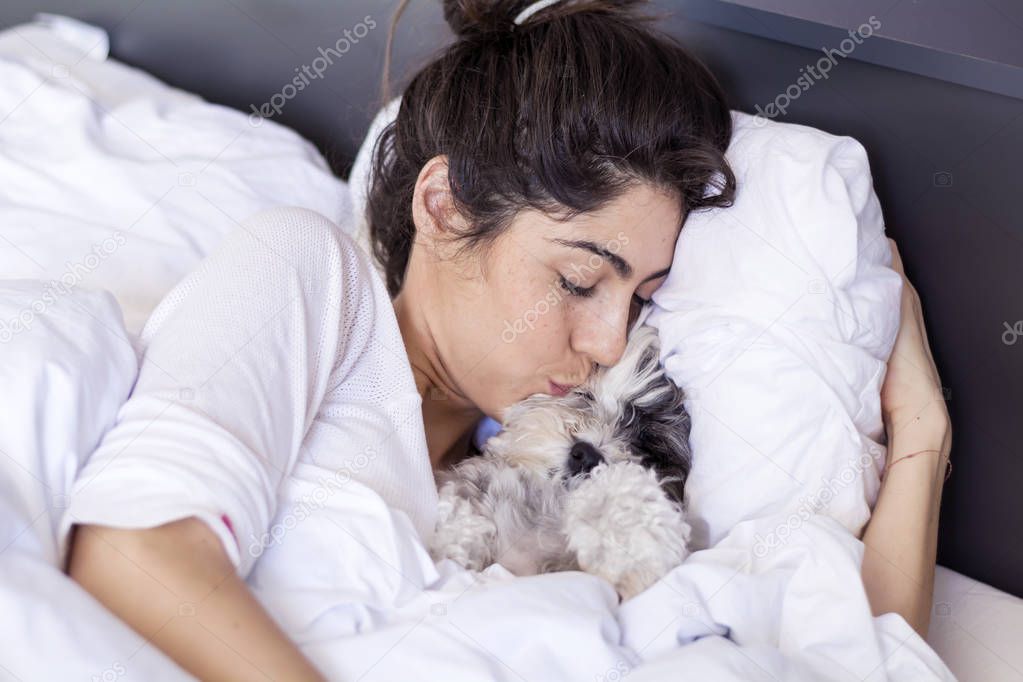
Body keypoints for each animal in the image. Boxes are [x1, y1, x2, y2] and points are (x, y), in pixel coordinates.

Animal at [427, 325, 691, 597]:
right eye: (585, 395)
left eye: (646, 443)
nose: (586, 454)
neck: (547, 503)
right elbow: (461, 498)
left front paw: (633, 548)